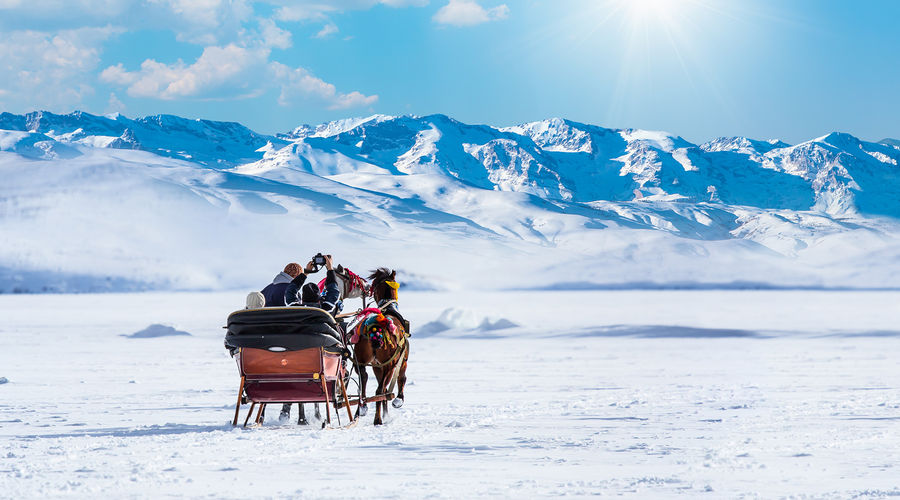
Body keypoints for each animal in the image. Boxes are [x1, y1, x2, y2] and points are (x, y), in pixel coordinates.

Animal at [356, 268, 412, 424]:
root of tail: (376, 328)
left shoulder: (377, 365)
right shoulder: (401, 361)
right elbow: (401, 378)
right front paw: (398, 400)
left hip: (361, 360)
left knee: (363, 379)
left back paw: (362, 407)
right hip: (390, 363)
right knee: (380, 391)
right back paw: (378, 419)